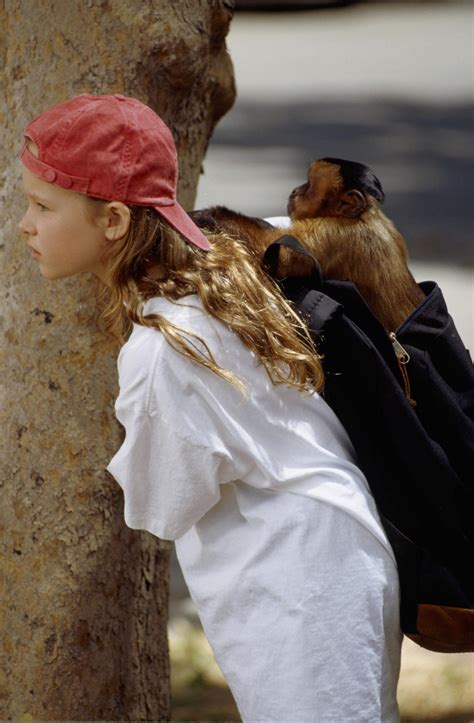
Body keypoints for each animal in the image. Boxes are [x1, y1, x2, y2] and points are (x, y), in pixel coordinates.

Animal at [190, 158, 426, 331]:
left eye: (309, 184)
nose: (295, 190)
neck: (364, 215)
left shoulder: (333, 235)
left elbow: (271, 253)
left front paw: (208, 215)